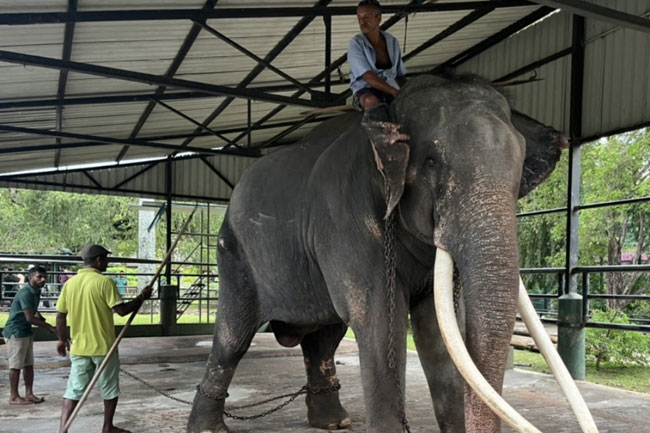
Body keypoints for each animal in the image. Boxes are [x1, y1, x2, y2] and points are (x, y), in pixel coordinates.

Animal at [186, 74, 572, 433]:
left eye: (520, 168)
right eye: (431, 161)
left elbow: (440, 327)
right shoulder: (345, 218)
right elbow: (380, 320)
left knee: (324, 339)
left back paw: (333, 423)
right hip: (233, 253)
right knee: (233, 337)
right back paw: (208, 427)